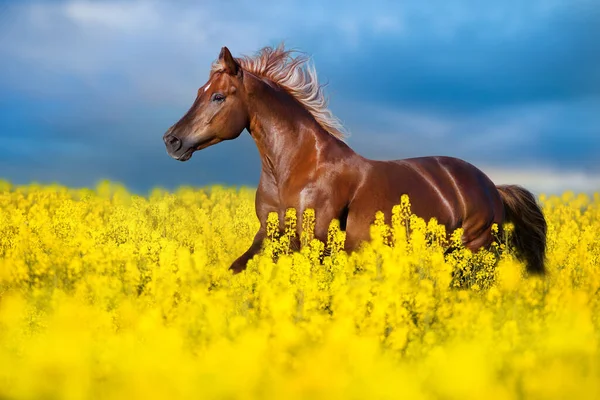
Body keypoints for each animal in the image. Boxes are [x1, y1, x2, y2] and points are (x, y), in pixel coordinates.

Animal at [162, 44, 548, 276]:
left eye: (218, 96)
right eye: (200, 92)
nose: (172, 140)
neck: (296, 168)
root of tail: (492, 186)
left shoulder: (314, 236)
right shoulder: (269, 233)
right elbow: (236, 267)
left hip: (475, 247)